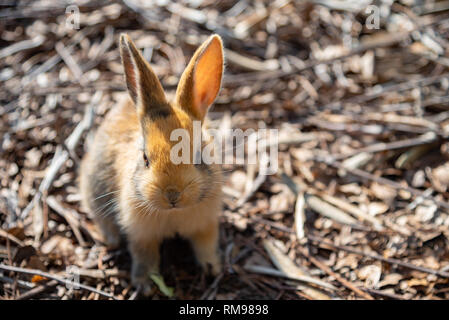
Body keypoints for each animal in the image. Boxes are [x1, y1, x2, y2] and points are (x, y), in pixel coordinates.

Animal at [80, 33, 224, 296]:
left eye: (199, 156)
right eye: (145, 158)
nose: (172, 194)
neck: (174, 213)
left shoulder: (205, 225)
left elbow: (205, 246)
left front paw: (212, 269)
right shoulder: (141, 235)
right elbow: (145, 256)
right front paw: (145, 284)